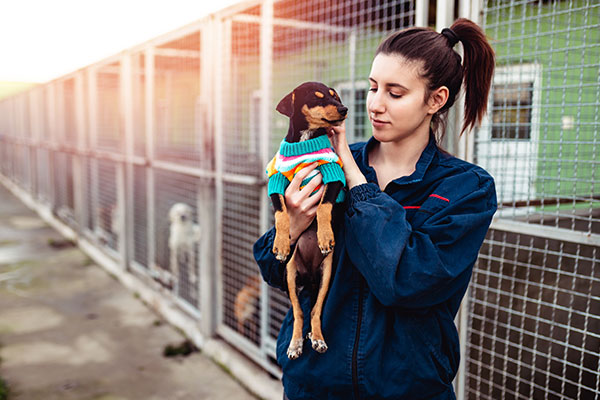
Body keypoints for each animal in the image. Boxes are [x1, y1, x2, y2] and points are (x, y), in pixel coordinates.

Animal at [266, 81, 346, 360]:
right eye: (317, 98)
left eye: (336, 96)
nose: (344, 109)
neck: (306, 141)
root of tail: (310, 278)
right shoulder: (276, 180)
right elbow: (281, 213)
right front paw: (280, 244)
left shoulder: (334, 175)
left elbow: (323, 207)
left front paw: (324, 236)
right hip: (290, 275)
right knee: (300, 312)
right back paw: (295, 343)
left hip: (326, 275)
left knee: (315, 310)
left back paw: (317, 338)